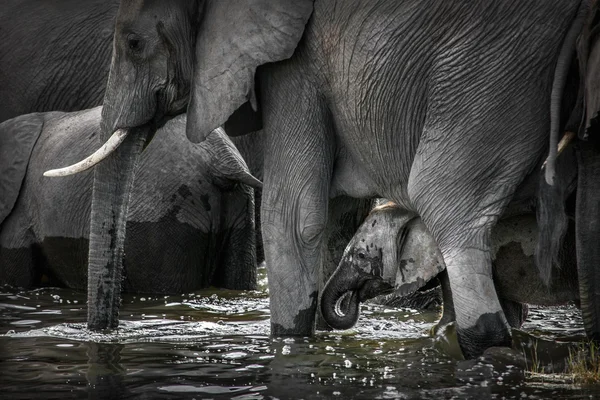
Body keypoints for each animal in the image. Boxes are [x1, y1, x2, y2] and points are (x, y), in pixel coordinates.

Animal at [48, 0, 600, 358]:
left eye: (134, 42)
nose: (107, 338)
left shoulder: (294, 58)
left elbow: (293, 215)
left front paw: (292, 343)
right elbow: (333, 212)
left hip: (492, 70)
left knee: (446, 201)